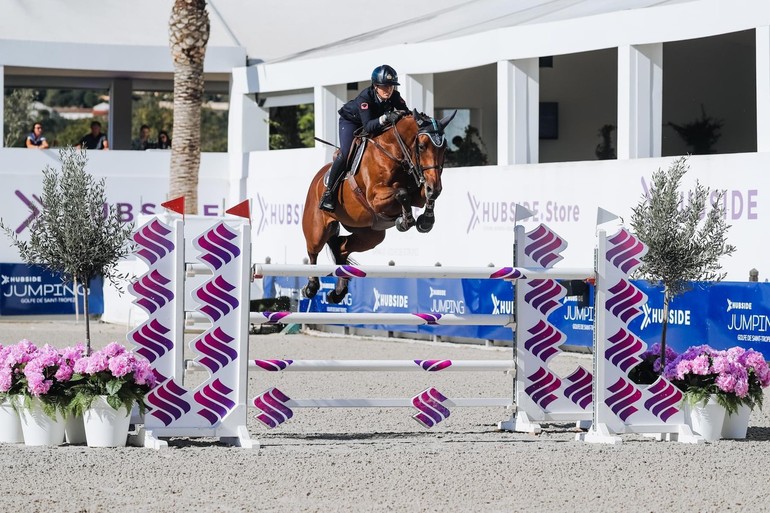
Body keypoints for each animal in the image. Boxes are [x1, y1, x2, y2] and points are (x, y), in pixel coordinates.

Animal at [300, 107, 456, 300]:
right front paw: (405, 221)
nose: (435, 187)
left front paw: (426, 220)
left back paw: (338, 292)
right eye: (422, 146)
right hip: (317, 229)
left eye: (444, 148)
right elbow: (401, 193)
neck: (395, 152)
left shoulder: (418, 193)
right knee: (313, 251)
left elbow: (423, 196)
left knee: (341, 248)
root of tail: (317, 178)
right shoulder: (375, 197)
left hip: (370, 235)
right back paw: (311, 287)